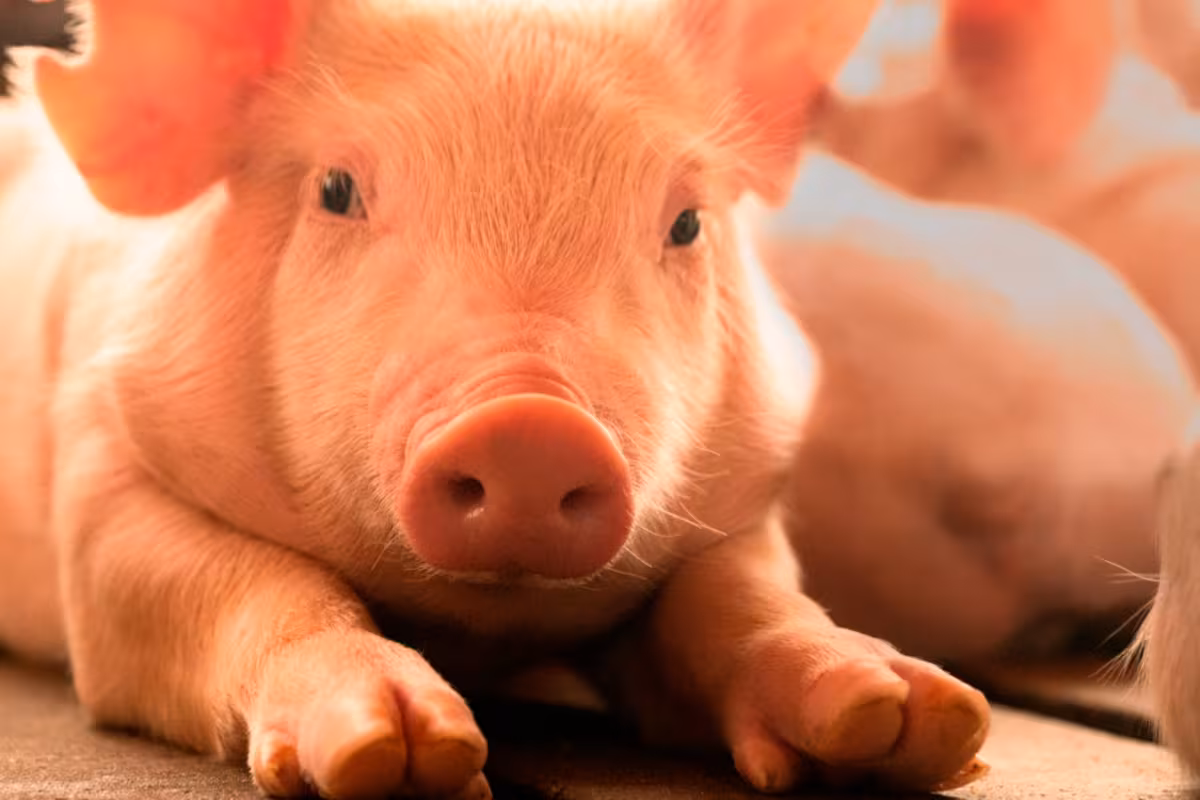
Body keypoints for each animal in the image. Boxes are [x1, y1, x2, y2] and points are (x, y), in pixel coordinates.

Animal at [0, 0, 996, 797]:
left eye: (685, 222)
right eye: (336, 190)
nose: (533, 424)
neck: (480, 633)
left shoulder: (744, 504)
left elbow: (738, 597)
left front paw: (905, 722)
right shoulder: (105, 458)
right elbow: (246, 582)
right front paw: (398, 754)